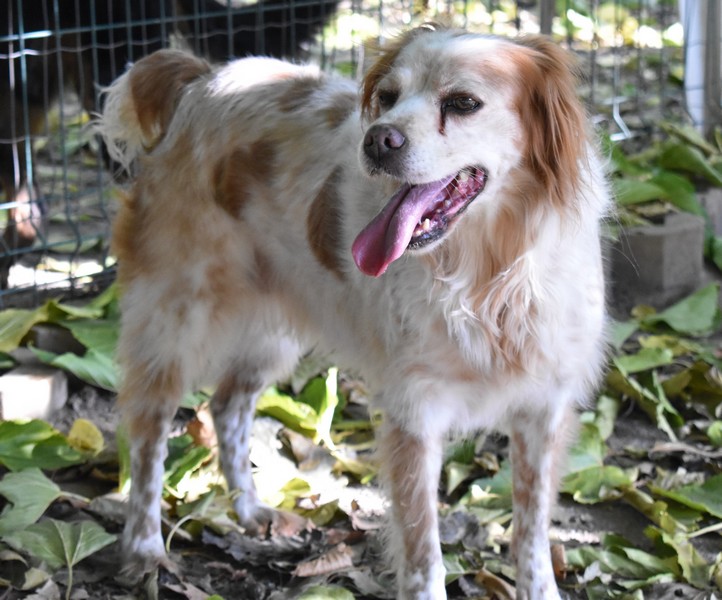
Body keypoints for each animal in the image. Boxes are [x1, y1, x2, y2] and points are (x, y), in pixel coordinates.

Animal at [99, 24, 610, 599]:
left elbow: (532, 536)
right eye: (386, 97)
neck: (489, 277)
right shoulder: (416, 413)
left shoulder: (544, 412)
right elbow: (424, 554)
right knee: (148, 436)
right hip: (176, 319)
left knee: (227, 407)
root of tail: (202, 77)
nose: (378, 139)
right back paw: (144, 548)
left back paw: (249, 511)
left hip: (270, 334)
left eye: (463, 103)